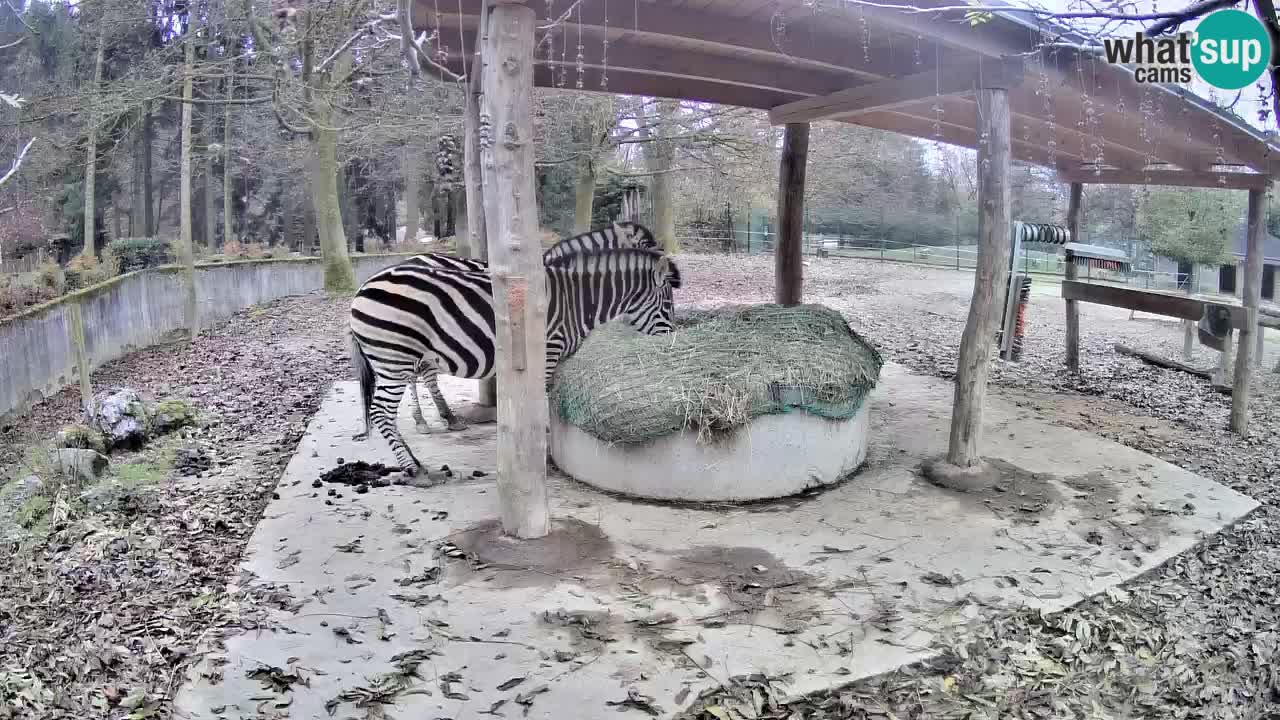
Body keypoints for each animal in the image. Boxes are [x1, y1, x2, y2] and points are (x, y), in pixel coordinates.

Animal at [350, 245, 680, 476]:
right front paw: (541, 450)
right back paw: (413, 467)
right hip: (395, 357)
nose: (672, 341)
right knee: (381, 411)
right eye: (667, 305)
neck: (575, 303)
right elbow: (540, 404)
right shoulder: (547, 352)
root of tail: (361, 288)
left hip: (397, 358)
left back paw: (420, 453)